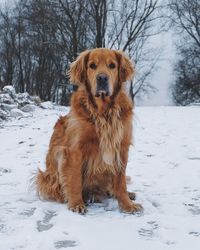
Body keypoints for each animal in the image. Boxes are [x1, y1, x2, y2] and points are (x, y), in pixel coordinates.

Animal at [36, 47, 142, 214]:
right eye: (92, 66)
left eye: (112, 65)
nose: (102, 78)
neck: (103, 111)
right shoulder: (74, 150)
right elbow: (75, 180)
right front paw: (76, 203)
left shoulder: (121, 148)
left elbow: (120, 182)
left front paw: (127, 204)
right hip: (46, 176)